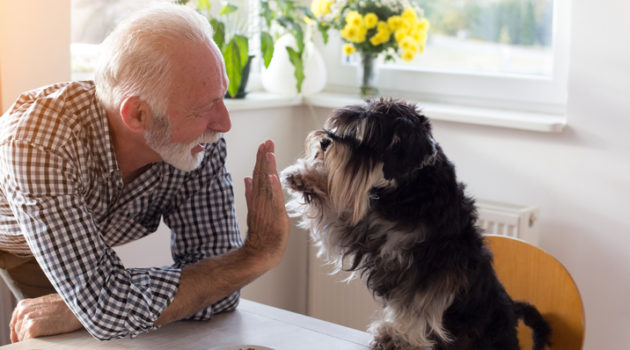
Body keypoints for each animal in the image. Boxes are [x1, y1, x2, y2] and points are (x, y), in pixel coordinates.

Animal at [282, 98, 552, 350]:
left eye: (366, 138)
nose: (324, 142)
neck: (408, 191)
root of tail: (512, 312)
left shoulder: (431, 269)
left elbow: (417, 307)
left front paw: (397, 337)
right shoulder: (364, 230)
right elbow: (336, 211)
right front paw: (304, 176)